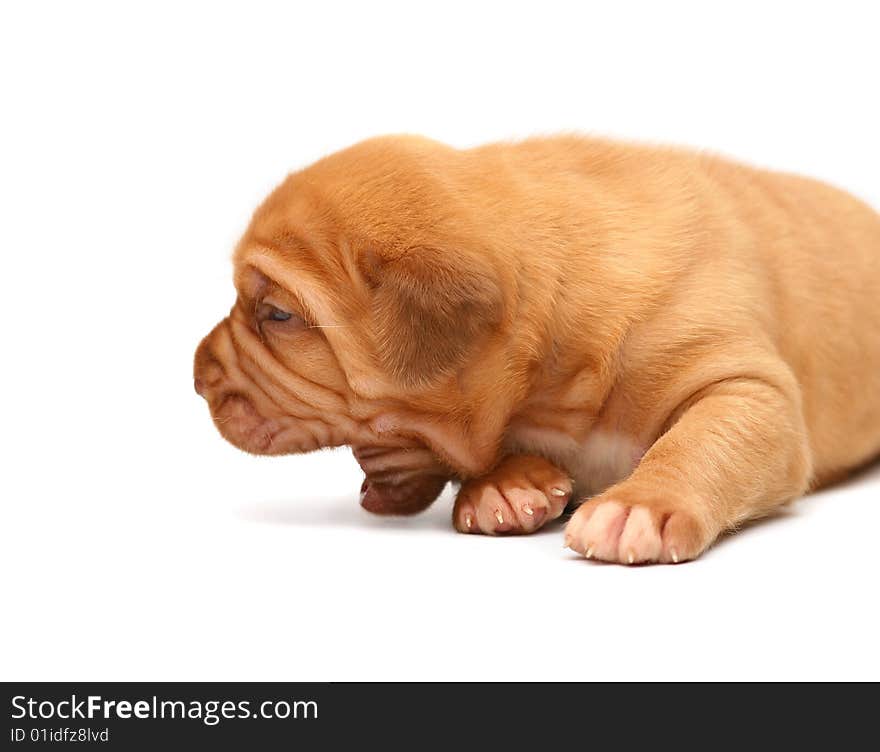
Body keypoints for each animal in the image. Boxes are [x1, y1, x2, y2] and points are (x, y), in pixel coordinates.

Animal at [192, 137, 880, 564]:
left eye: (279, 315)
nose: (196, 377)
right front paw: (506, 484)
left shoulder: (745, 385)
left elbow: (703, 439)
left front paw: (642, 504)